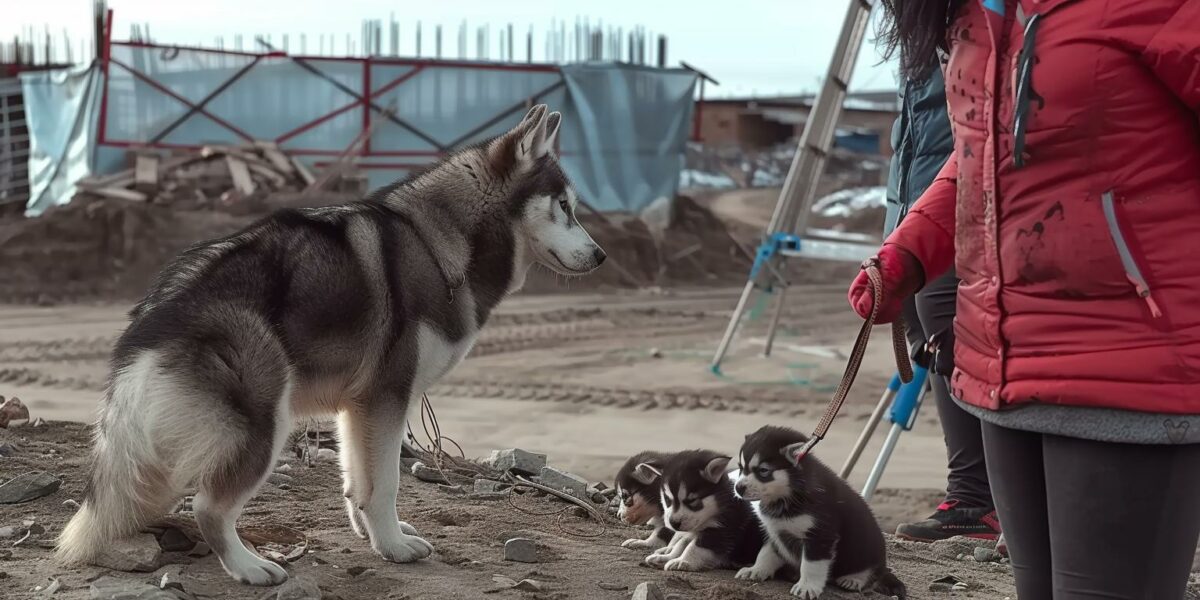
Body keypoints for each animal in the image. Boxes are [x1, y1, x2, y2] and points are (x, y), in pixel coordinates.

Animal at [54, 105, 609, 583]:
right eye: (564, 206)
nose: (602, 256)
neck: (441, 242)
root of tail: (151, 320)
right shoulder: (388, 397)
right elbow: (385, 484)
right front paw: (394, 548)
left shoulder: (356, 407)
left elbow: (357, 483)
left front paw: (375, 536)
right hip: (265, 422)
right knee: (208, 507)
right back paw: (250, 567)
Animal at [734, 424, 902, 597]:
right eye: (740, 468)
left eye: (763, 470)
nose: (738, 488)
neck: (789, 495)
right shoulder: (773, 531)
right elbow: (766, 553)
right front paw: (756, 569)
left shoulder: (820, 535)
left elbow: (811, 565)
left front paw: (807, 586)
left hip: (870, 548)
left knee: (873, 572)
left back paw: (855, 579)